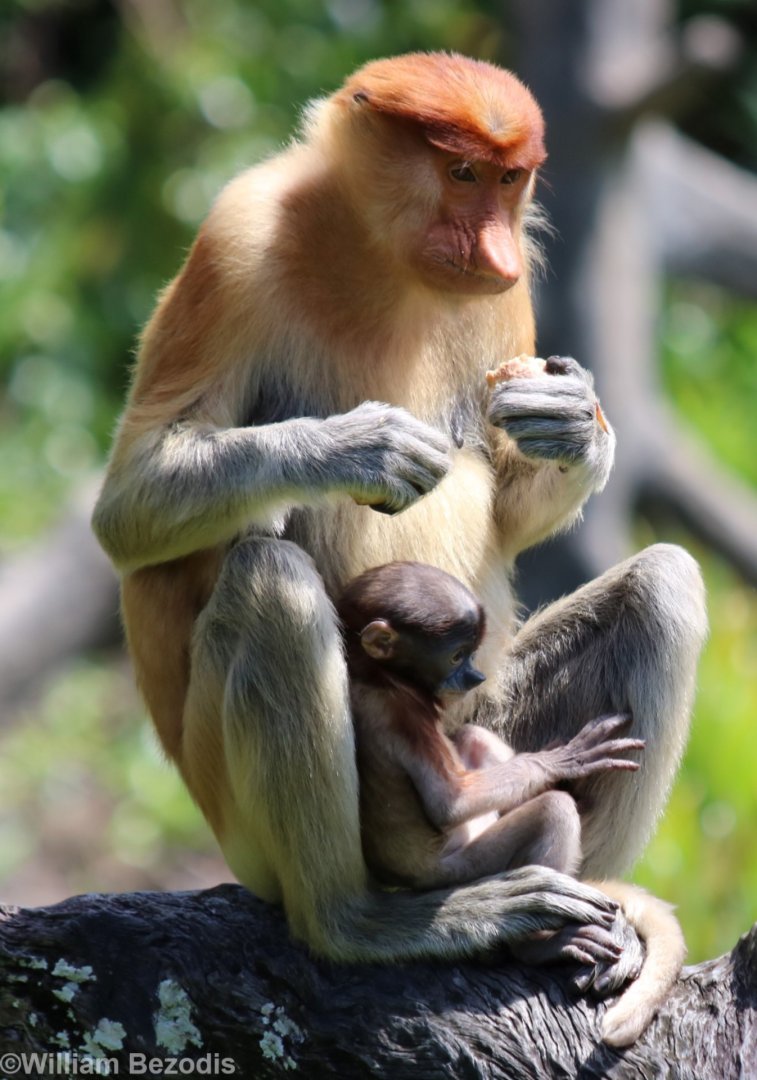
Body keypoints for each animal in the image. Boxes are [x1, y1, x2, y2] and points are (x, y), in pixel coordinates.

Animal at [91, 52, 705, 1045]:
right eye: (459, 172)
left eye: (508, 181)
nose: (492, 249)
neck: (376, 253)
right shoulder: (234, 238)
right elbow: (129, 509)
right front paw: (361, 444)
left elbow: (513, 499)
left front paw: (570, 419)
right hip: (251, 828)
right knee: (270, 581)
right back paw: (371, 923)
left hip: (489, 715)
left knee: (664, 580)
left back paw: (586, 913)